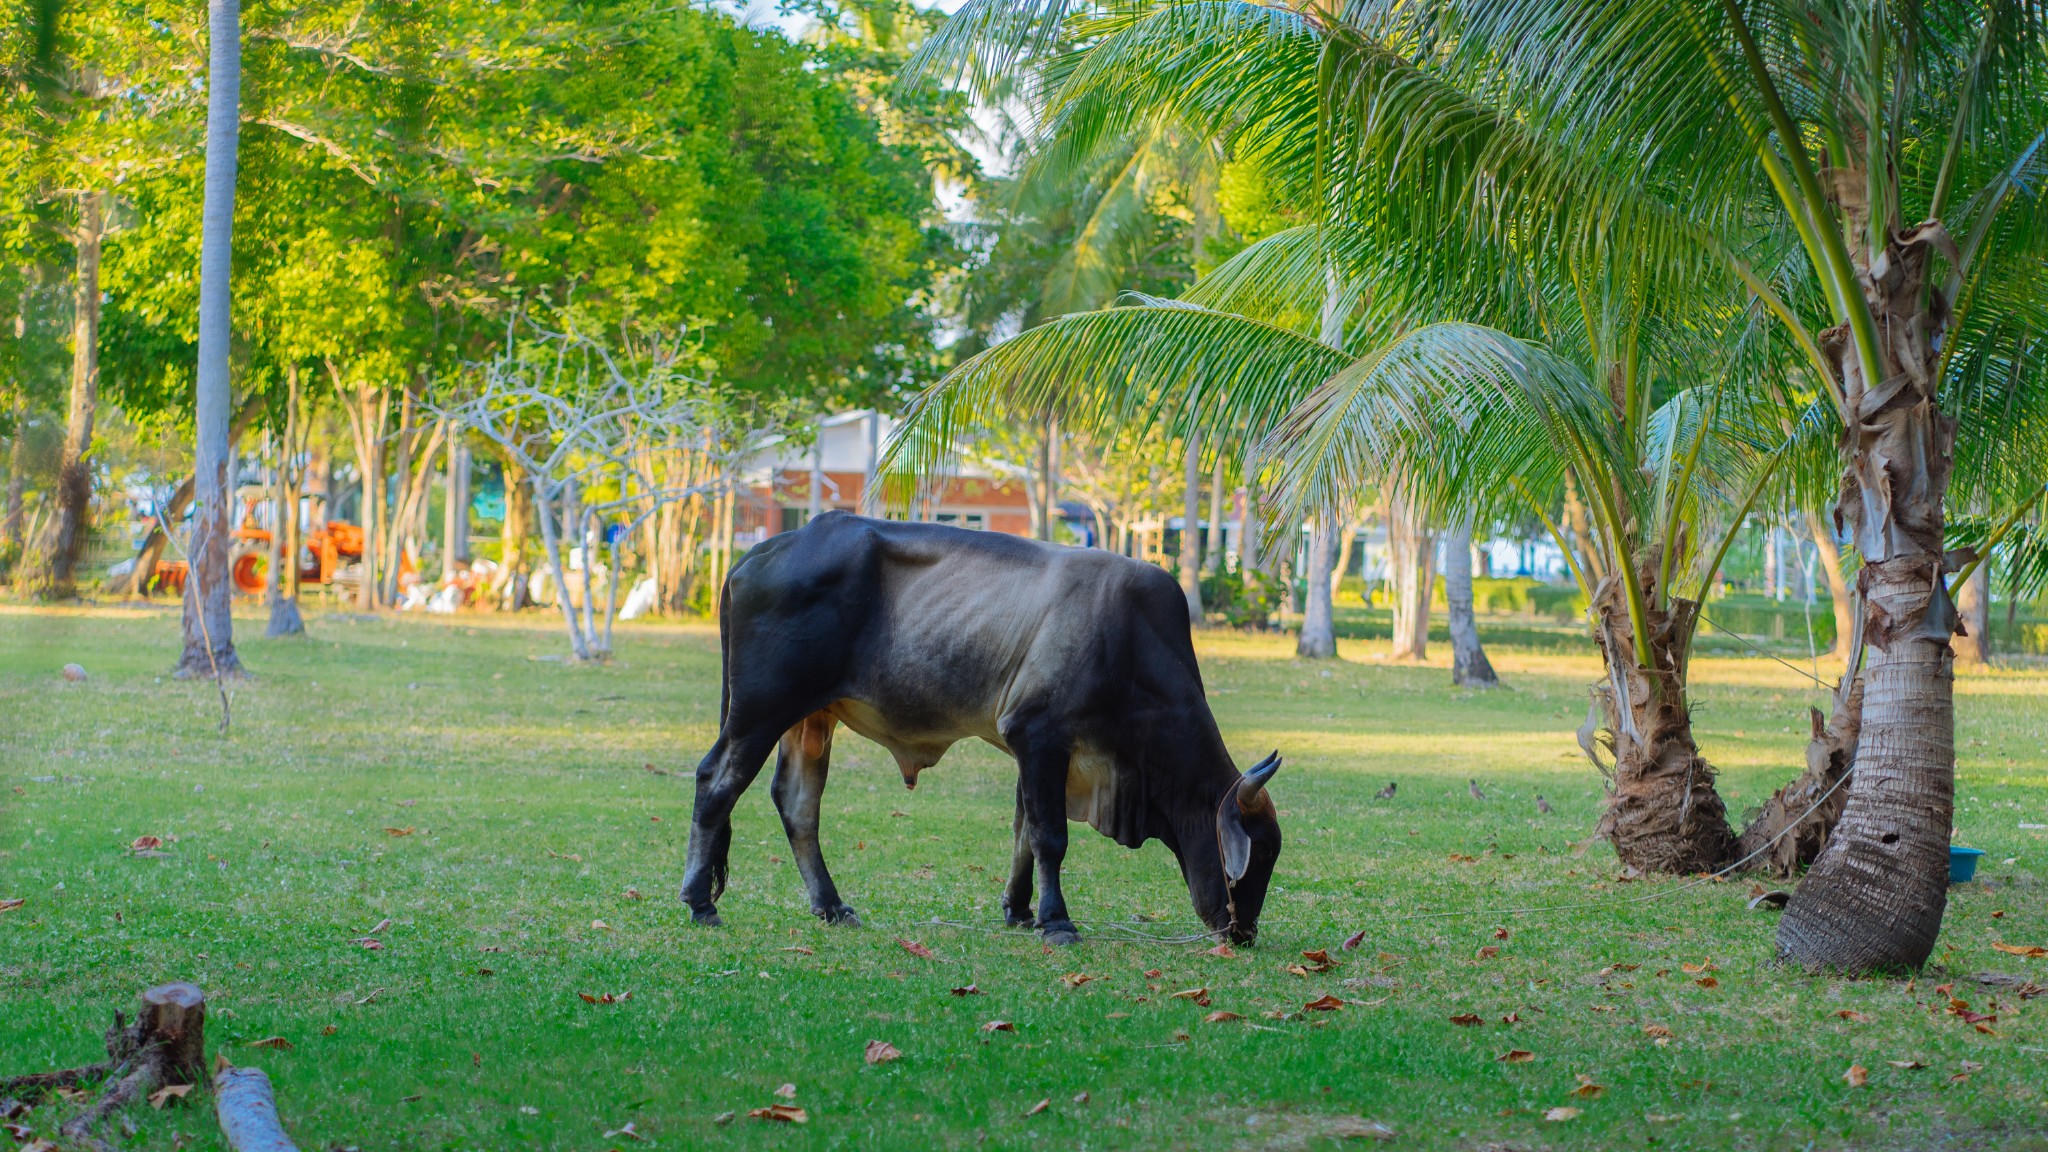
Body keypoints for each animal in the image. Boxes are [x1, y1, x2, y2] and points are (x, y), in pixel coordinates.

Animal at [684, 510, 1277, 942]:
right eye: (1252, 860)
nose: (1242, 932)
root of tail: (760, 552)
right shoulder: (1039, 736)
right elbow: (1050, 837)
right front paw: (1056, 922)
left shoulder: (1037, 751)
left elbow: (1023, 833)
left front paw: (1018, 911)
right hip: (761, 711)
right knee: (717, 782)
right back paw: (699, 903)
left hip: (811, 718)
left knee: (798, 804)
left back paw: (830, 906)